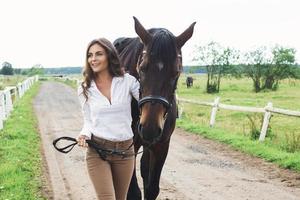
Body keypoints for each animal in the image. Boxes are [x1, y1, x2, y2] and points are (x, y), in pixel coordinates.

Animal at [113, 17, 196, 200]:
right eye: (142, 68)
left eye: (176, 72)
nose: (150, 127)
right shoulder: (129, 146)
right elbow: (133, 192)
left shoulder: (161, 145)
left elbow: (152, 188)